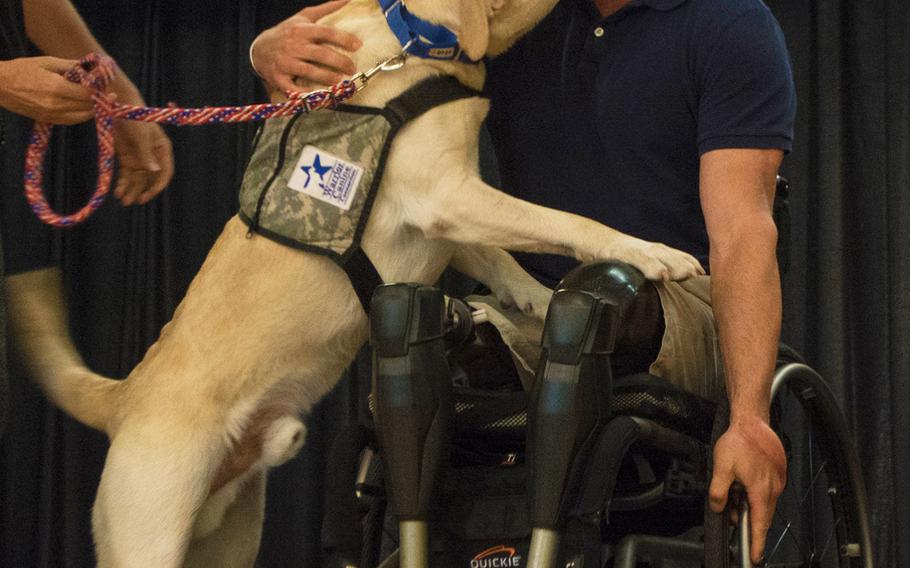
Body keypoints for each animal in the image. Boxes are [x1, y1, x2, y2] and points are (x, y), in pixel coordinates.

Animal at [3, 0, 704, 564]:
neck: (416, 41)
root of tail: (125, 396)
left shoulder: (450, 217)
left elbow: (505, 258)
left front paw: (535, 300)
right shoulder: (447, 195)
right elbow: (563, 222)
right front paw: (650, 252)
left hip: (231, 537)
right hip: (150, 534)